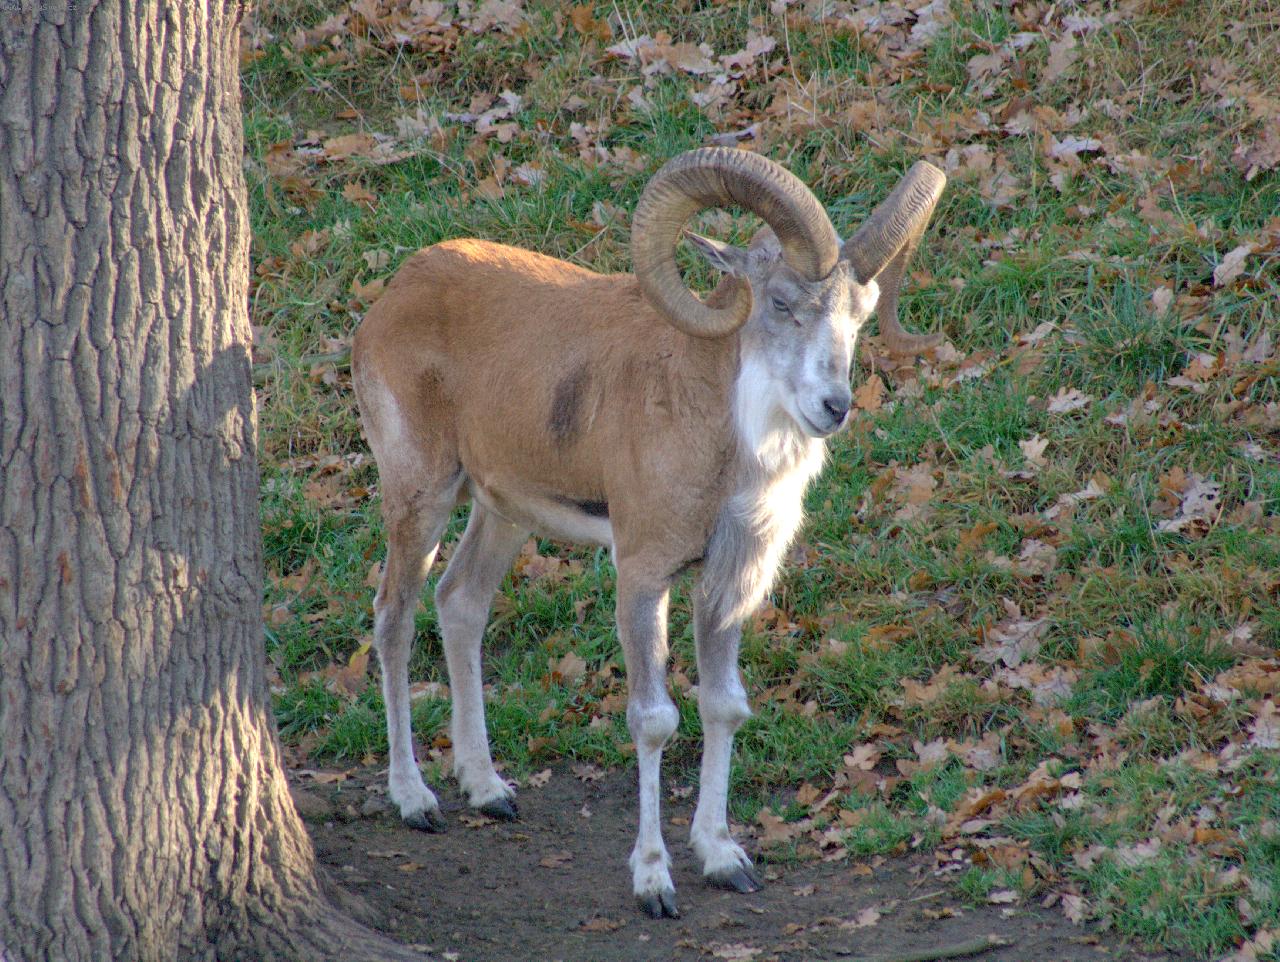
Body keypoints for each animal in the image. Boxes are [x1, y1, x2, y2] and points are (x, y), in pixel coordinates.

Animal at [352, 147, 945, 918]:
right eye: (782, 303)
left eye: (860, 314)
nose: (833, 406)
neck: (717, 437)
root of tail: (392, 298)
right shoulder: (642, 576)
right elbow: (655, 719)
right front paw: (655, 881)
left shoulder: (726, 585)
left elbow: (724, 707)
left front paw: (723, 859)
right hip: (420, 497)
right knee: (394, 617)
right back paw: (416, 800)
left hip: (502, 513)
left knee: (461, 604)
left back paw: (488, 791)